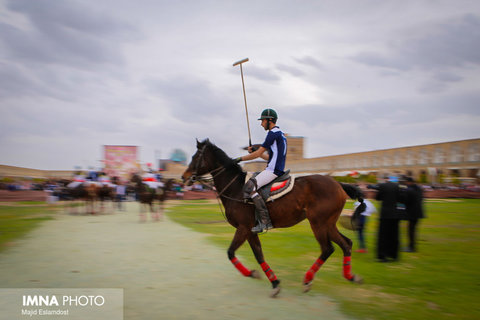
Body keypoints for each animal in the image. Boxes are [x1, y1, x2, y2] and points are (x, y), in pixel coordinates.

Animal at [182, 139, 366, 298]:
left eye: (196, 157)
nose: (184, 177)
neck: (235, 188)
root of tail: (338, 184)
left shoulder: (243, 227)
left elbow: (230, 252)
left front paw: (253, 274)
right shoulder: (250, 230)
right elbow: (259, 255)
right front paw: (274, 283)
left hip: (318, 223)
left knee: (327, 248)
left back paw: (307, 280)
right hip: (328, 223)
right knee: (346, 244)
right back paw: (351, 276)